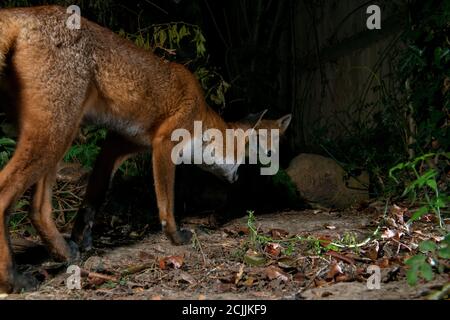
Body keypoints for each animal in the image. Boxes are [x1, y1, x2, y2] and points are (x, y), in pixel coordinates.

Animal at [0, 5, 292, 292]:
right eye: (244, 154)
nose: (238, 177)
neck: (200, 112)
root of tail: (22, 14)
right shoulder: (165, 142)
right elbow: (167, 201)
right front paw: (176, 236)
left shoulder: (117, 145)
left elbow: (95, 197)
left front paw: (83, 239)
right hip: (56, 134)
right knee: (7, 195)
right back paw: (14, 279)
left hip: (58, 134)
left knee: (38, 208)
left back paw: (64, 252)